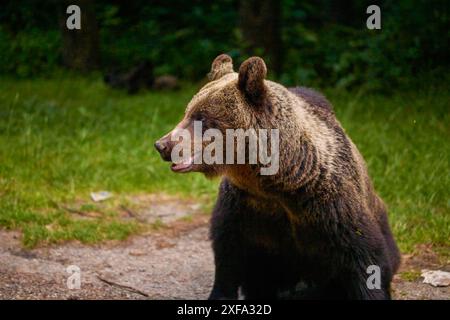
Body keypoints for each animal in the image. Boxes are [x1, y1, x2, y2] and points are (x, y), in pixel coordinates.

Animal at [156, 53, 400, 300]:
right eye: (188, 112)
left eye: (202, 118)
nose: (162, 145)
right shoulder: (243, 204)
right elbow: (228, 252)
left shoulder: (330, 203)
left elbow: (363, 255)